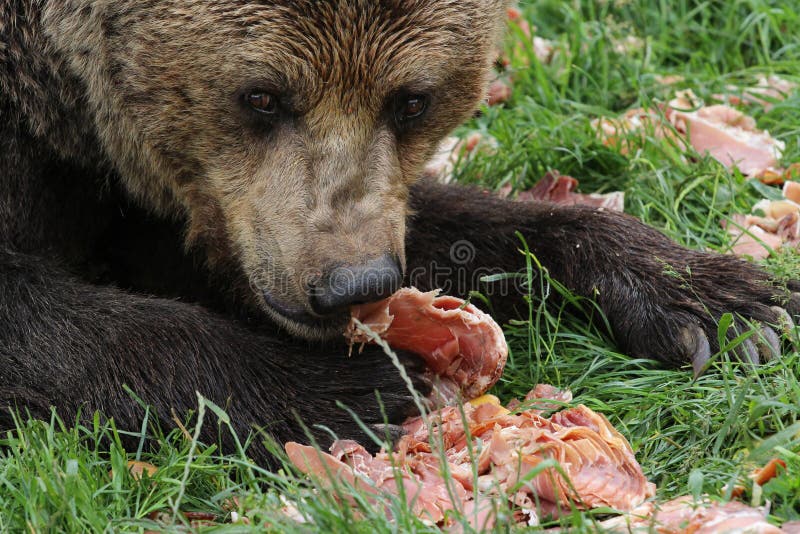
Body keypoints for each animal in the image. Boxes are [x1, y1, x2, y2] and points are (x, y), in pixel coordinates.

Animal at [1, 0, 797, 466]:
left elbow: (465, 226)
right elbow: (51, 318)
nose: (354, 282)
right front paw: (365, 390)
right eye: (260, 95)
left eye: (412, 99)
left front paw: (723, 304)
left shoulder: (201, 208)